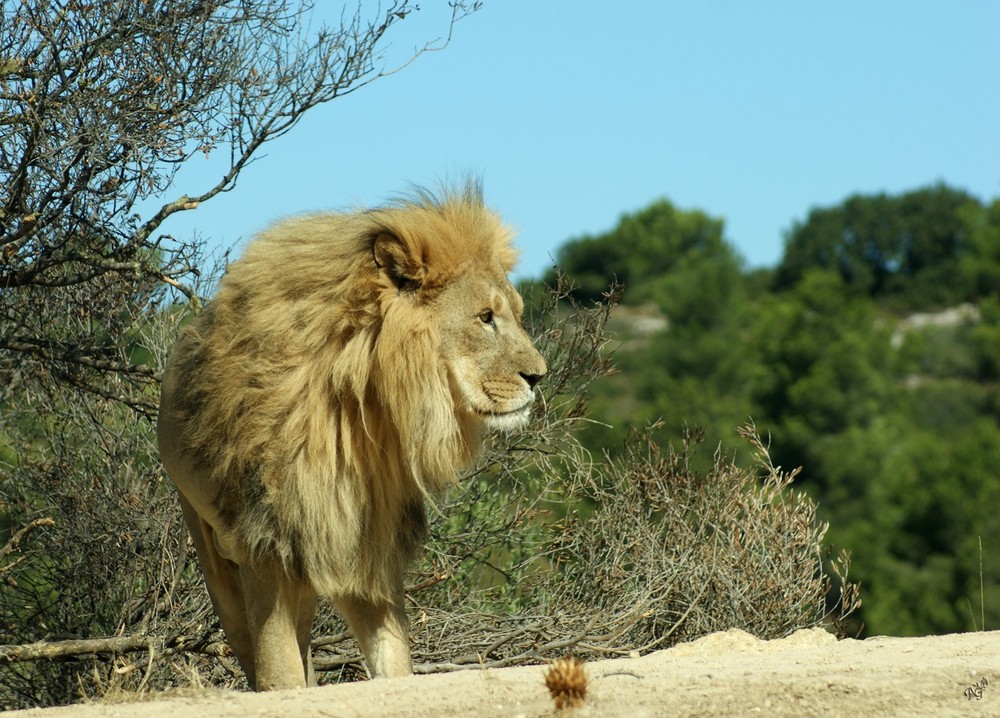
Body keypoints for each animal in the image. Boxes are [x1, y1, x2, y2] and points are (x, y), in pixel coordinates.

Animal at [156, 186, 548, 692]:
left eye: (514, 315)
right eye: (485, 317)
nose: (539, 376)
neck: (363, 406)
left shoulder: (364, 546)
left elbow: (393, 660)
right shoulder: (265, 547)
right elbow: (279, 671)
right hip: (214, 552)